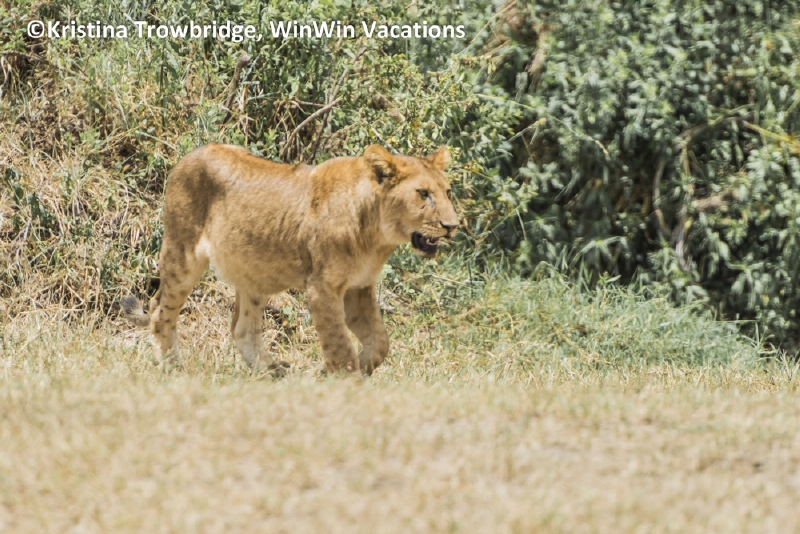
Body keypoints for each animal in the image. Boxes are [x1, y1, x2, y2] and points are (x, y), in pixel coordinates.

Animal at [122, 143, 458, 376]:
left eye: (448, 192)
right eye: (423, 193)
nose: (453, 225)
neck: (377, 234)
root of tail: (190, 155)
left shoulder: (358, 288)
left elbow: (379, 341)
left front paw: (350, 369)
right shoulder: (322, 287)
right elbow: (339, 343)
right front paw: (346, 379)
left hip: (253, 270)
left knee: (242, 328)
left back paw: (273, 373)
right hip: (183, 252)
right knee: (160, 311)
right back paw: (172, 367)